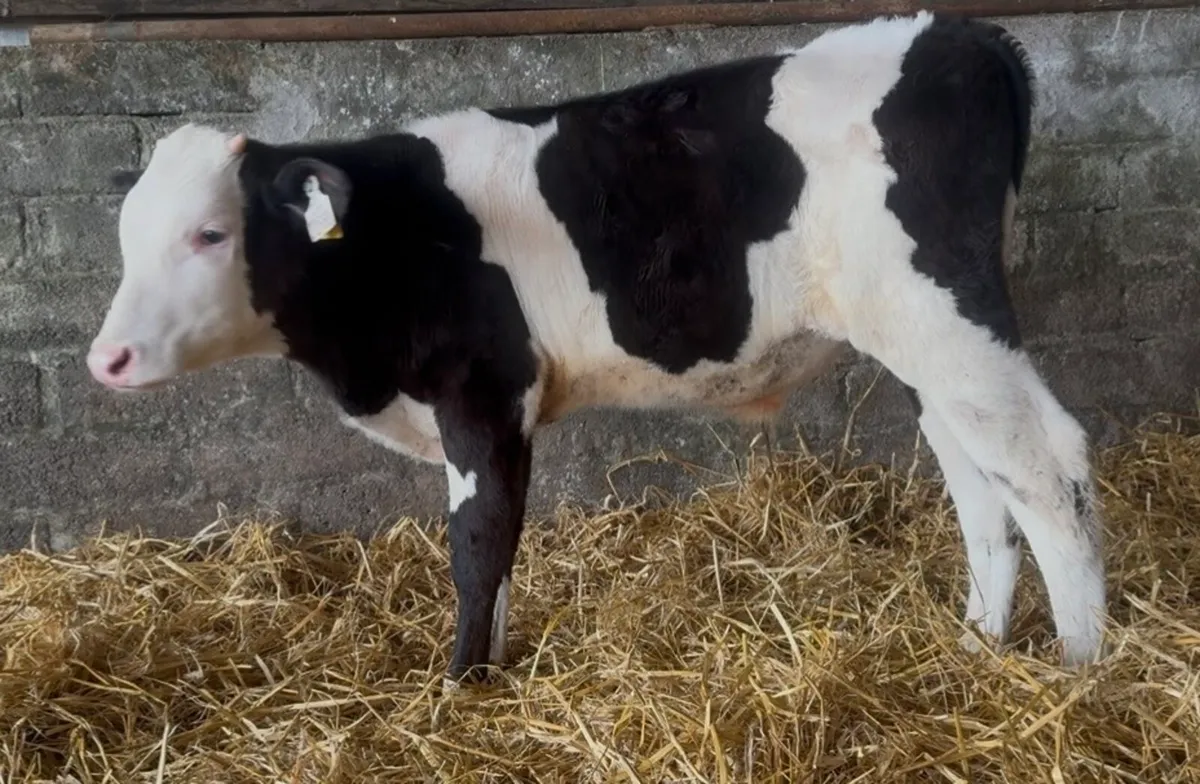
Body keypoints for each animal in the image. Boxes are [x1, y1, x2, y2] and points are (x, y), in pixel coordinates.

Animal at [86, 11, 1107, 685]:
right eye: (127, 235)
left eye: (211, 234)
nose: (107, 359)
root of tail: (961, 32)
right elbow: (499, 544)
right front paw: (487, 667)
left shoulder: (483, 390)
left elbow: (479, 540)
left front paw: (459, 687)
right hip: (917, 335)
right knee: (977, 472)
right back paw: (980, 640)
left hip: (946, 313)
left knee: (1046, 464)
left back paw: (1081, 671)